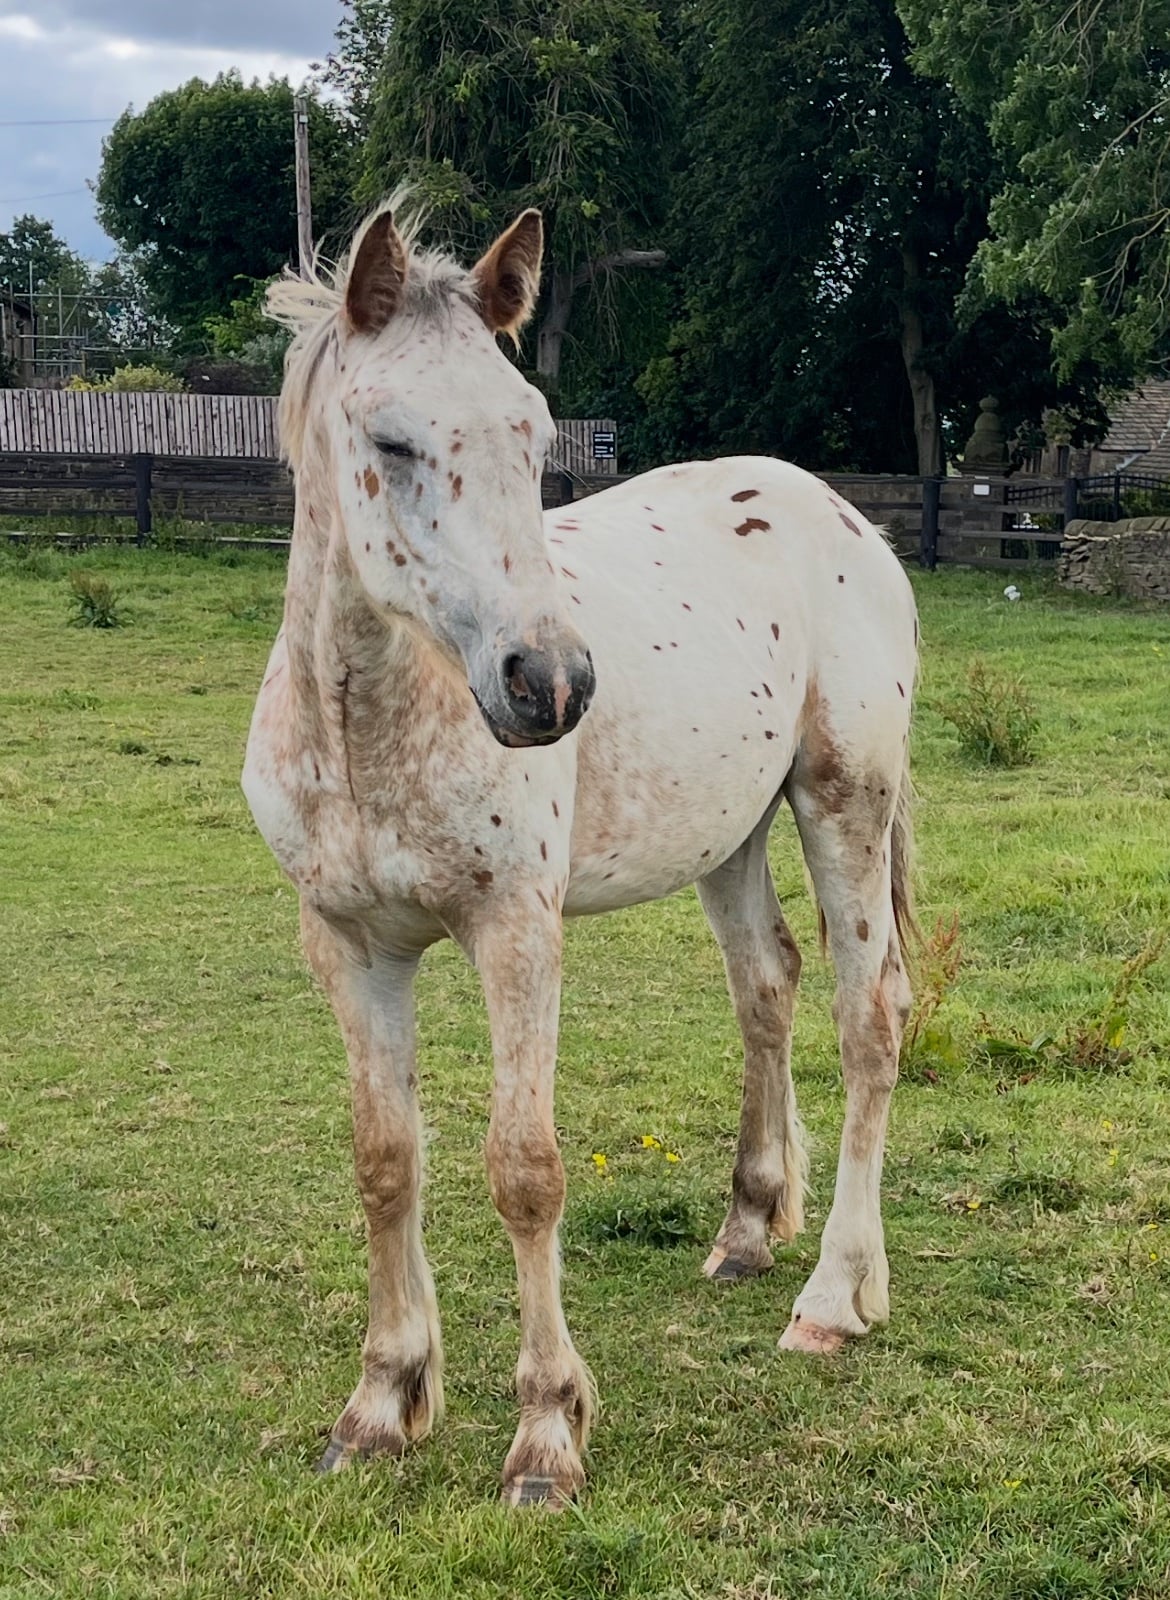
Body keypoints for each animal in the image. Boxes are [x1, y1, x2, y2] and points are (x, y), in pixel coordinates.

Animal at [242, 199, 918, 1507]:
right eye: (392, 439)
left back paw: (831, 1294)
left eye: (535, 431)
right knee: (768, 987)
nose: (549, 683)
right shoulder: (348, 945)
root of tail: (845, 516)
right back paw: (749, 1227)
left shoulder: (516, 932)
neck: (369, 730)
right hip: (729, 833)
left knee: (869, 1021)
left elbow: (525, 1168)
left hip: (844, 802)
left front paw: (546, 1432)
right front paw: (380, 1402)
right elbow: (384, 1159)